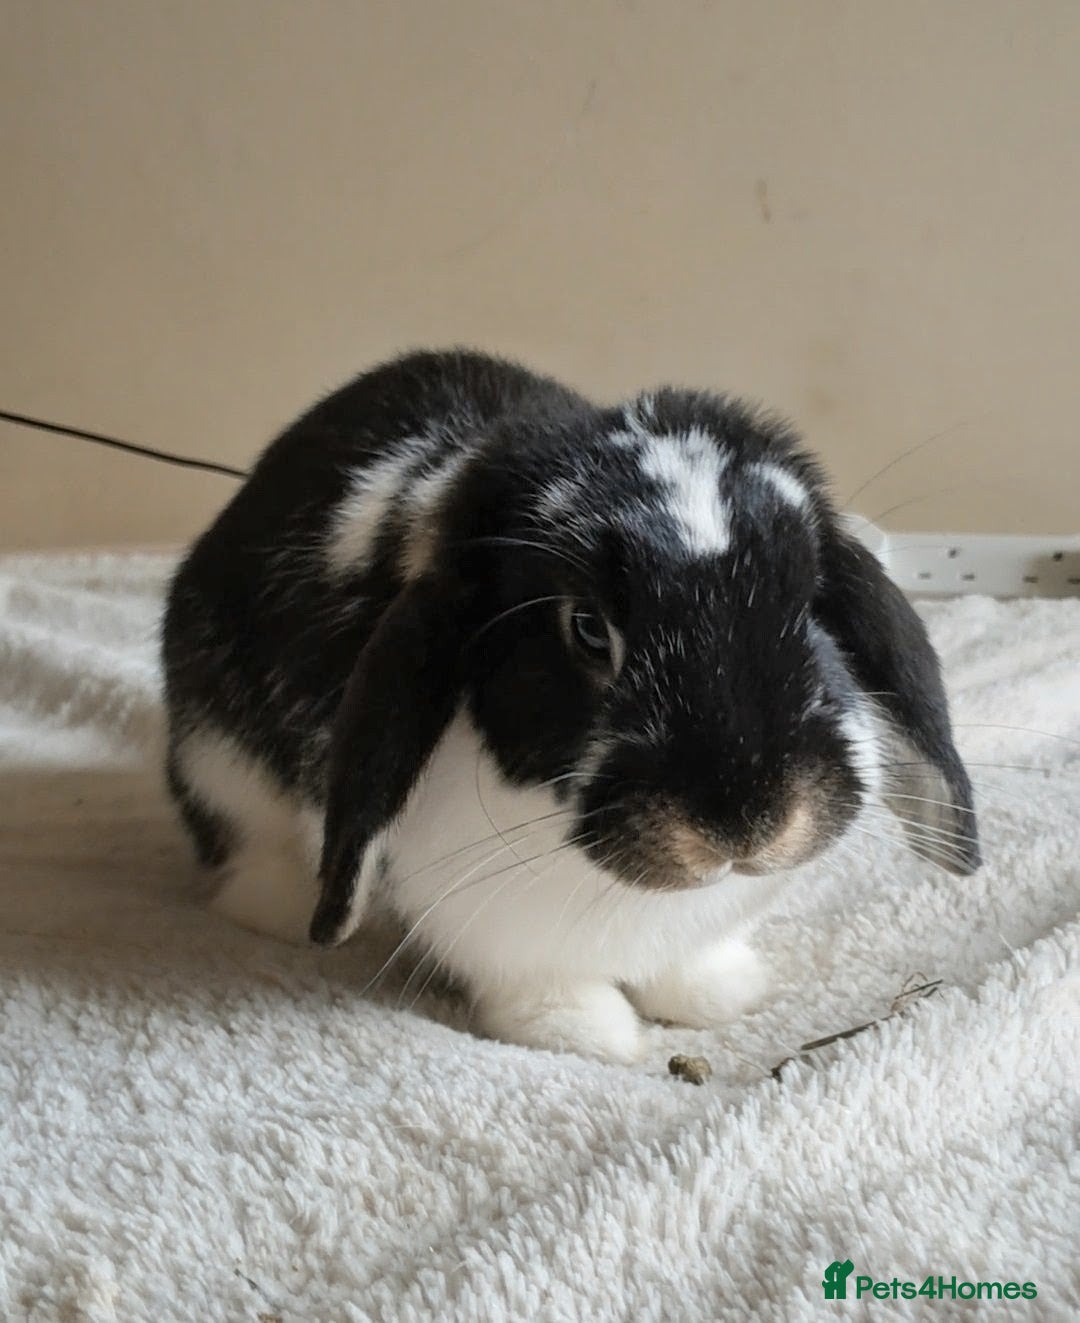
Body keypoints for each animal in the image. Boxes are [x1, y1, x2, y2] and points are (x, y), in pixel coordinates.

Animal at [162, 348, 980, 1062]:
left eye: (808, 603)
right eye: (586, 628)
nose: (748, 825)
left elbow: (691, 967)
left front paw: (721, 997)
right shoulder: (503, 934)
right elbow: (546, 988)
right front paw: (589, 1035)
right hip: (216, 760)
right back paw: (274, 903)